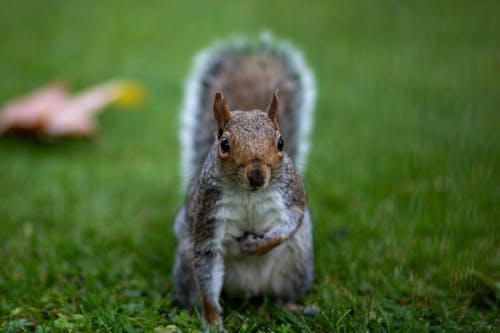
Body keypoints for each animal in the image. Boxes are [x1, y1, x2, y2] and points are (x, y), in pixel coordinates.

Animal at [173, 32, 316, 328]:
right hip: (185, 260)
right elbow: (207, 264)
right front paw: (213, 322)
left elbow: (291, 221)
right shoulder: (207, 215)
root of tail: (248, 291)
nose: (257, 175)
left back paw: (294, 307)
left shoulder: (293, 195)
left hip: (296, 261)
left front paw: (257, 244)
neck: (249, 193)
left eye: (281, 142)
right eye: (224, 144)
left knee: (282, 296)